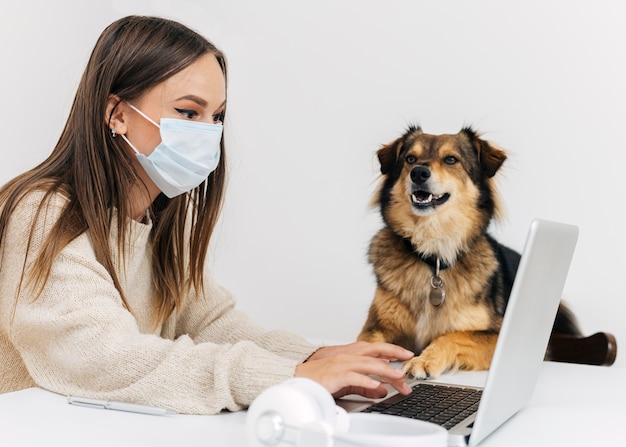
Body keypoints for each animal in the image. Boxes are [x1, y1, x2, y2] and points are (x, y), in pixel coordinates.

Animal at [354, 125, 576, 378]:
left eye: (451, 159)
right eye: (410, 159)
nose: (418, 173)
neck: (434, 253)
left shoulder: (496, 333)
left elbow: (452, 335)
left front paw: (424, 360)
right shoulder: (375, 327)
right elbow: (364, 346)